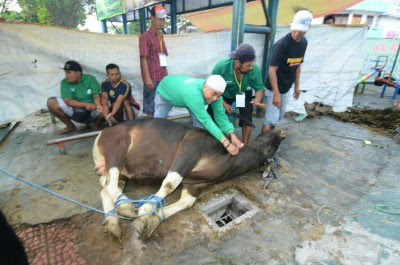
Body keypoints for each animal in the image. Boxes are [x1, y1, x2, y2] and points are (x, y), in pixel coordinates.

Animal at [92, 118, 284, 238]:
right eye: (269, 134)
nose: (280, 130)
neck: (230, 159)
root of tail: (103, 133)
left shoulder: (197, 184)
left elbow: (187, 202)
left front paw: (154, 218)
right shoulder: (189, 151)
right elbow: (169, 183)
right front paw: (144, 211)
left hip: (122, 170)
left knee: (107, 186)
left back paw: (113, 223)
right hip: (117, 148)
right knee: (111, 180)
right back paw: (125, 208)